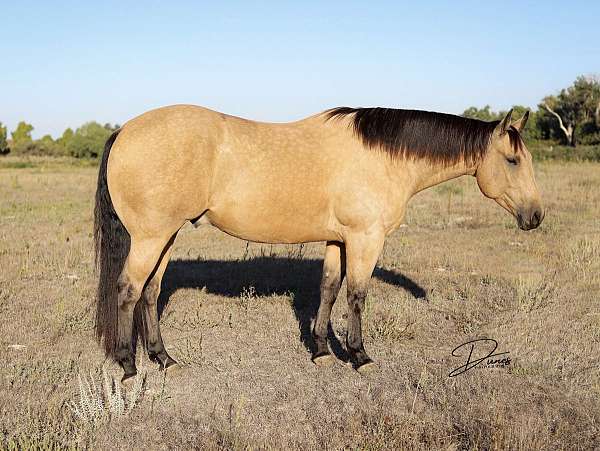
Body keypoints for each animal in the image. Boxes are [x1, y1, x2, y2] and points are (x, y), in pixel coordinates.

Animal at [94, 104, 544, 384]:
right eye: (512, 161)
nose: (535, 216)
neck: (382, 158)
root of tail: (124, 130)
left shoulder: (337, 240)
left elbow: (328, 289)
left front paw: (322, 351)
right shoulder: (365, 238)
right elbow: (357, 295)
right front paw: (359, 357)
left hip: (166, 236)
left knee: (151, 292)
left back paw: (164, 359)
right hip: (151, 237)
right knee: (128, 290)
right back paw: (129, 367)